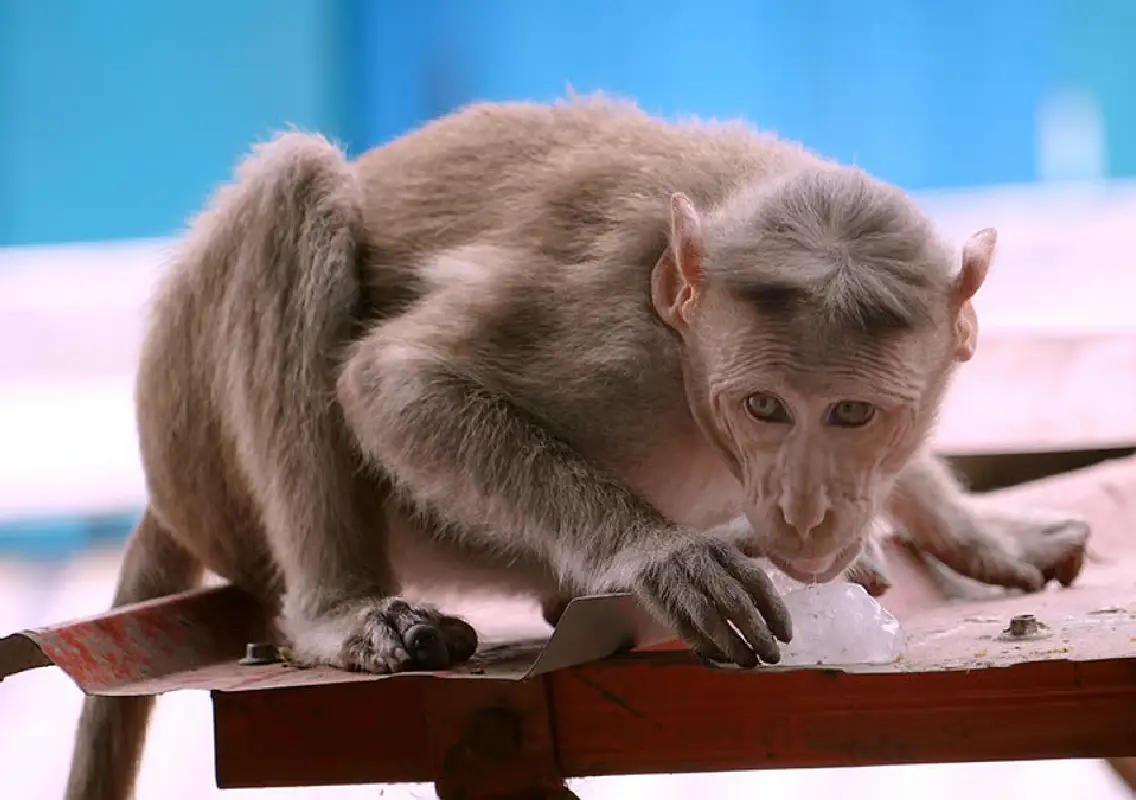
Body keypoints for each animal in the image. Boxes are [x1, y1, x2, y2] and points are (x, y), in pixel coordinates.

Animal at [64, 94, 1090, 799]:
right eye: (764, 407)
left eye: (853, 415)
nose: (806, 513)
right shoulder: (607, 339)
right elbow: (396, 382)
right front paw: (661, 556)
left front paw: (974, 528)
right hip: (201, 450)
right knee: (296, 183)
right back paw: (341, 610)